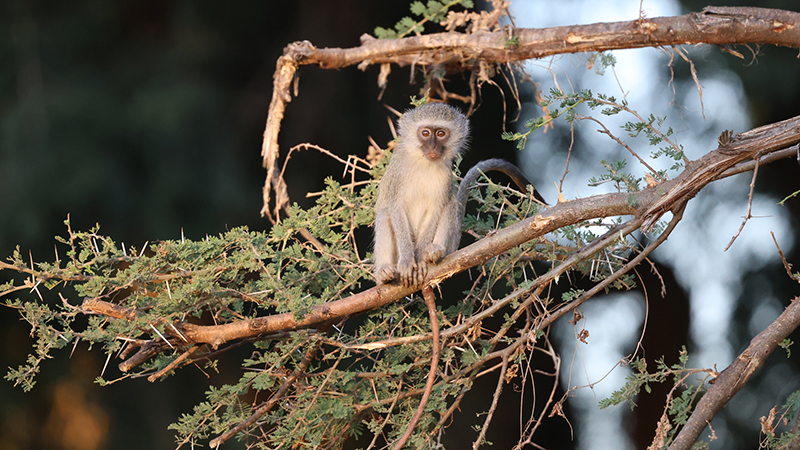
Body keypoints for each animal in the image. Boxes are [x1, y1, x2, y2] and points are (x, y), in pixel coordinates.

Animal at [373, 102, 546, 287]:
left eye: (440, 134)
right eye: (425, 133)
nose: (433, 147)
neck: (424, 162)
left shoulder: (445, 177)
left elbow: (436, 209)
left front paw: (419, 259)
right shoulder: (398, 171)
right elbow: (395, 208)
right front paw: (407, 260)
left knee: (450, 204)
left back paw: (435, 251)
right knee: (384, 214)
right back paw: (384, 273)